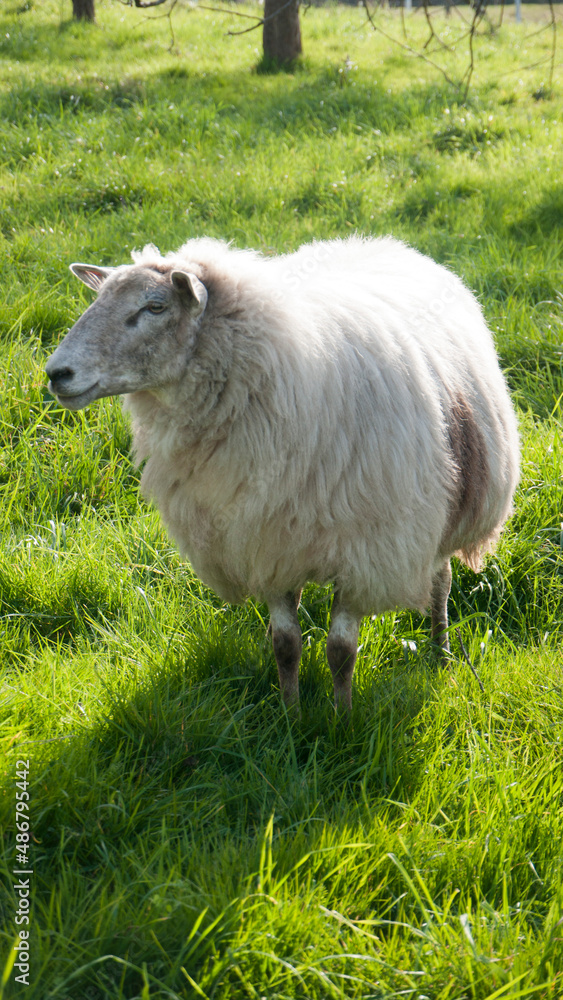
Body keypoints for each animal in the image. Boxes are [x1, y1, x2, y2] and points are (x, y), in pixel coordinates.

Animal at [46, 235, 520, 713]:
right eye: (98, 299)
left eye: (155, 307)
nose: (56, 373)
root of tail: (383, 243)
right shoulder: (263, 539)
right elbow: (286, 643)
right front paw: (290, 714)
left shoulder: (367, 551)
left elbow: (341, 650)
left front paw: (342, 719)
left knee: (441, 582)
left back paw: (441, 654)